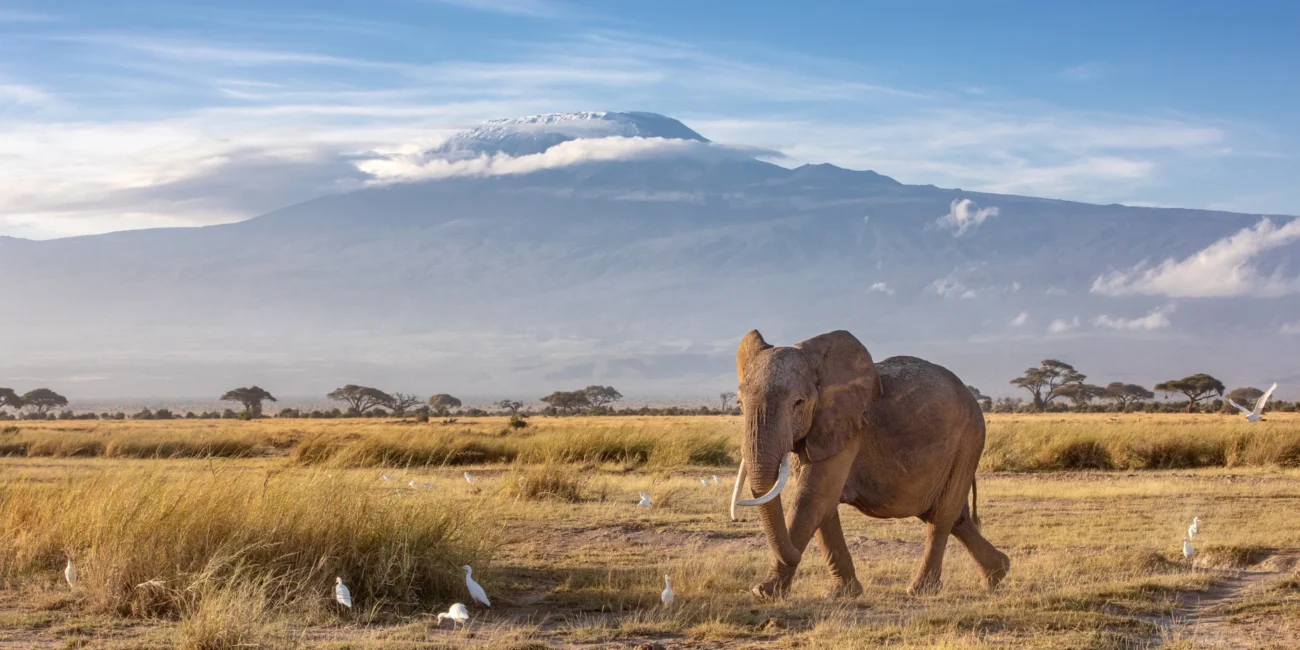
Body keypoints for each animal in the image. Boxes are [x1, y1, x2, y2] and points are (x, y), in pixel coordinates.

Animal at [729, 329, 1010, 599]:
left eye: (798, 403)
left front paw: (763, 592)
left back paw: (920, 590)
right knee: (955, 516)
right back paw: (997, 574)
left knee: (941, 515)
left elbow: (812, 498)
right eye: (739, 404)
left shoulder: (848, 427)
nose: (796, 555)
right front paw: (842, 593)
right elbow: (824, 505)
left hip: (968, 439)